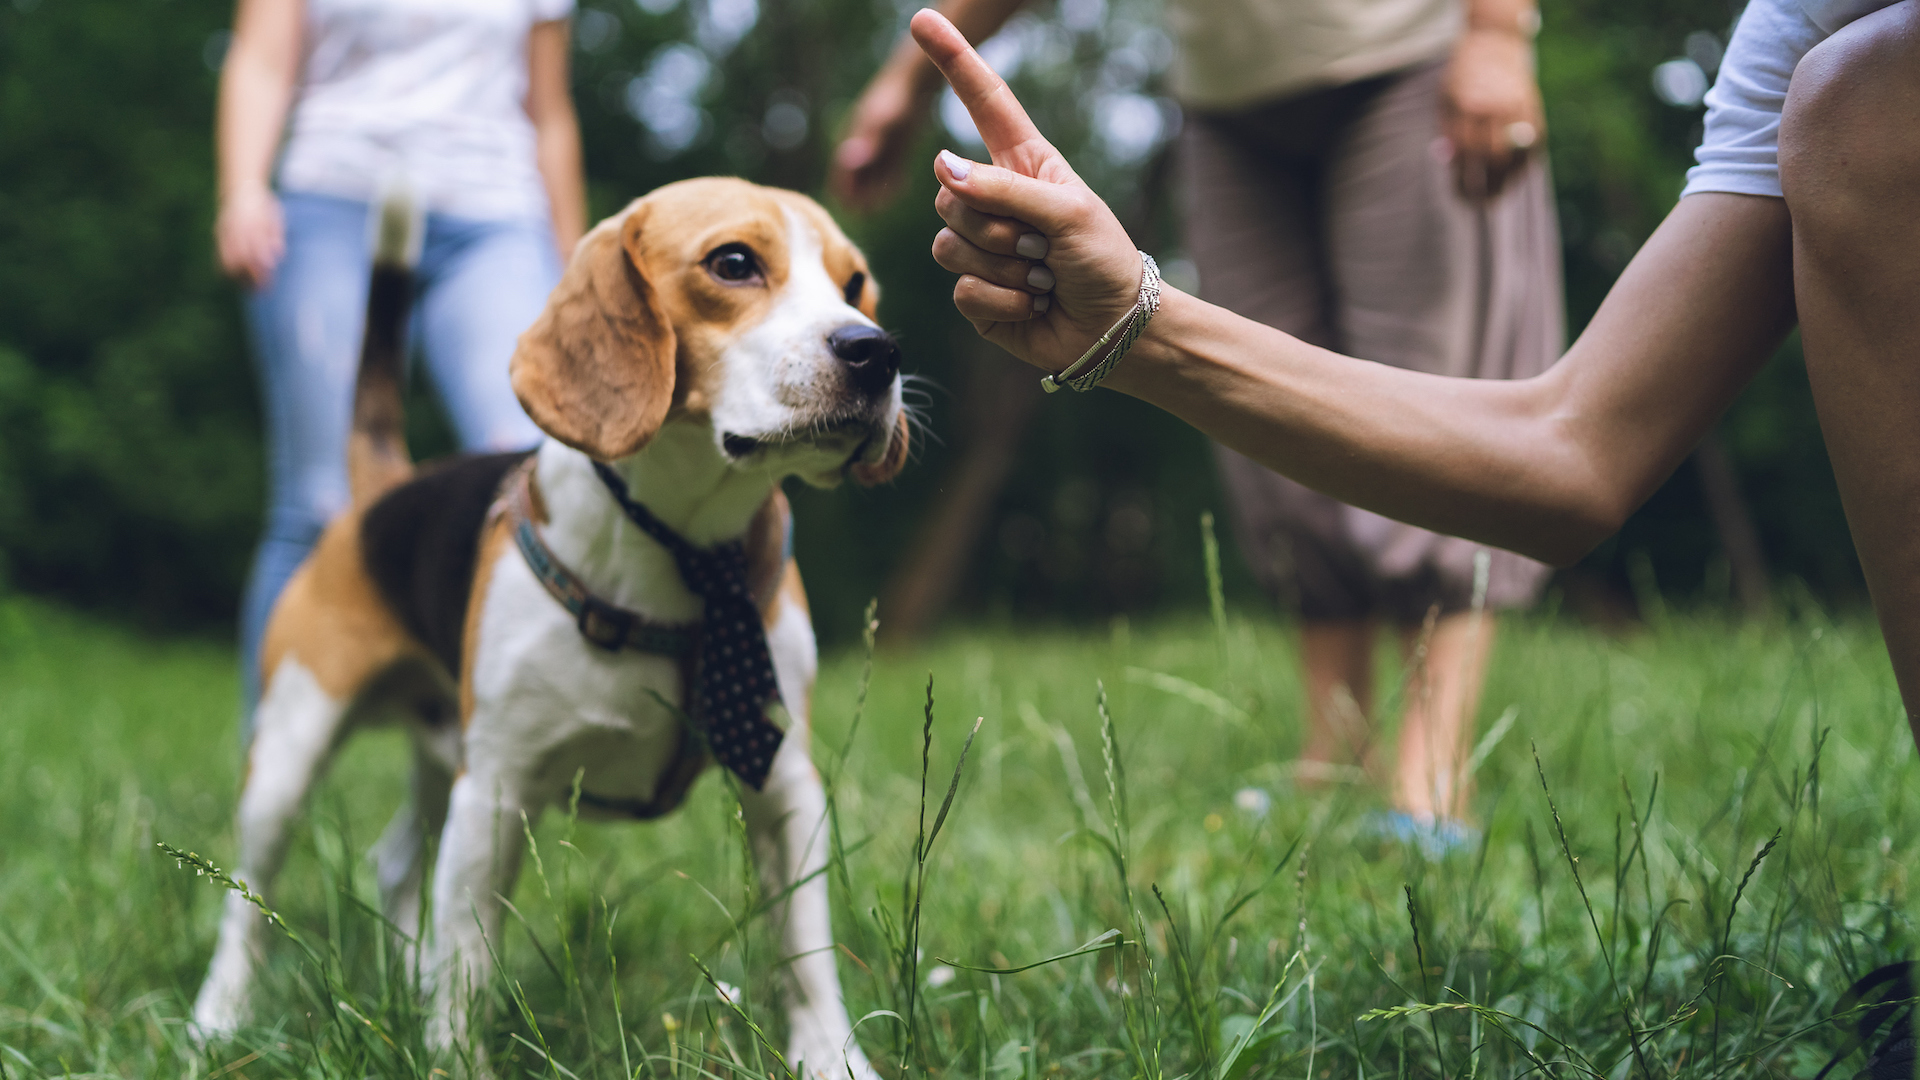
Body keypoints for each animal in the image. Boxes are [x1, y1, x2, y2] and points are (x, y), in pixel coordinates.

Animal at [191, 178, 910, 1076]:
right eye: (734, 263)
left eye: (855, 284)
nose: (877, 350)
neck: (686, 555)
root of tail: (384, 488)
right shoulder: (496, 793)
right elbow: (469, 961)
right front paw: (455, 1058)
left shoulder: (782, 784)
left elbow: (806, 953)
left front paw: (830, 1060)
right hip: (292, 750)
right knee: (247, 903)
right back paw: (219, 1016)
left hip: (443, 759)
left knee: (394, 865)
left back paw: (404, 976)